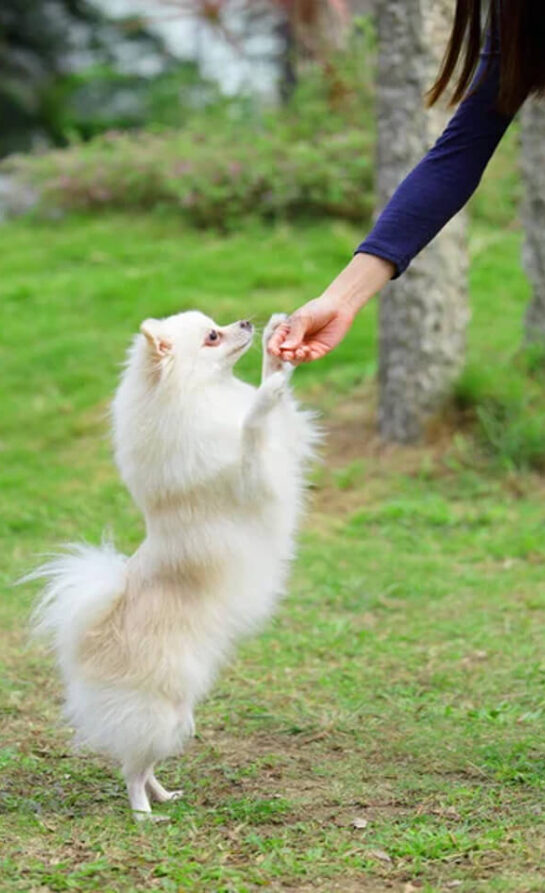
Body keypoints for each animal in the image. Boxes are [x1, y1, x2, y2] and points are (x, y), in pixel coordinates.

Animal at [28, 310, 314, 820]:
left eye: (219, 324)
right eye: (212, 336)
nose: (246, 321)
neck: (204, 398)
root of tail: (89, 638)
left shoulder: (285, 446)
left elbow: (273, 416)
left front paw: (276, 358)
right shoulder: (250, 476)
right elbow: (252, 428)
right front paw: (266, 393)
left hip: (178, 716)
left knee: (143, 765)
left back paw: (165, 795)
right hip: (159, 714)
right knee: (131, 770)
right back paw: (145, 813)